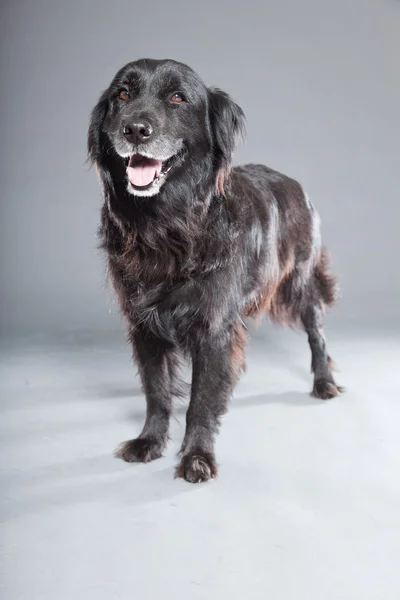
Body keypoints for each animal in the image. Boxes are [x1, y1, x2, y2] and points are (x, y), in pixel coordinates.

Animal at [88, 58, 344, 486]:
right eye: (122, 94)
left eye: (177, 97)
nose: (135, 130)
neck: (167, 225)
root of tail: (294, 182)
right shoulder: (143, 323)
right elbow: (157, 390)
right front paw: (149, 441)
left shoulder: (213, 327)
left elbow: (201, 400)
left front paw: (196, 457)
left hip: (301, 284)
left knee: (317, 335)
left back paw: (324, 382)